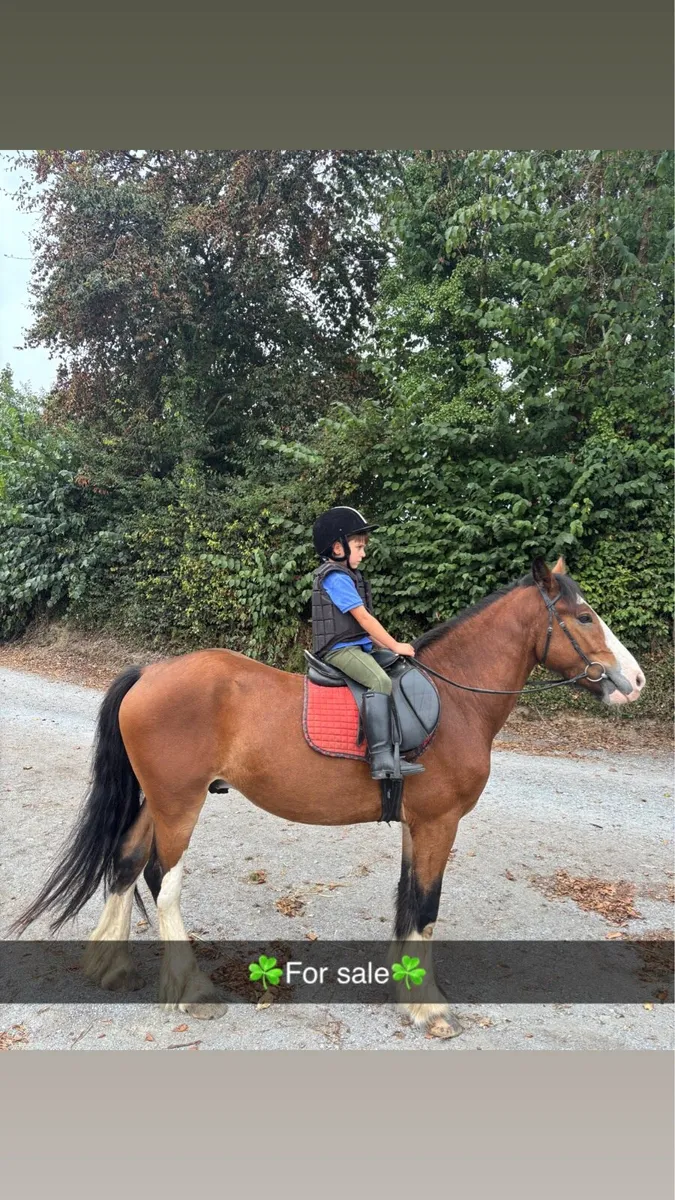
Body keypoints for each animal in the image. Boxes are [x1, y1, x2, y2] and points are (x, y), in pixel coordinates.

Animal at [12, 556, 645, 1038]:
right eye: (584, 616)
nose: (635, 682)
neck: (453, 700)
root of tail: (149, 672)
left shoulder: (417, 825)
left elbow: (406, 904)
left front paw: (404, 990)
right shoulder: (439, 822)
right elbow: (426, 907)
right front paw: (429, 1008)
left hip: (160, 800)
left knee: (125, 861)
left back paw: (110, 965)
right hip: (180, 805)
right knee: (164, 885)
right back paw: (190, 991)